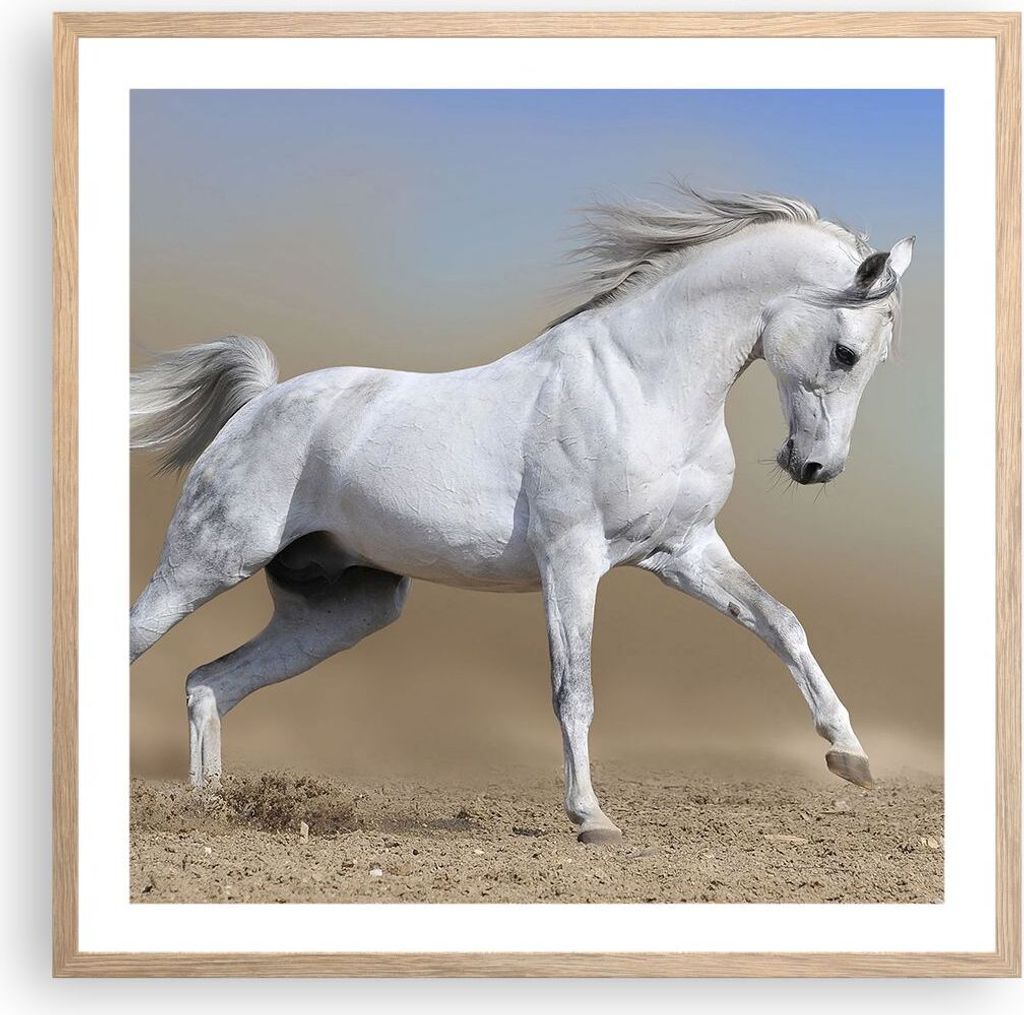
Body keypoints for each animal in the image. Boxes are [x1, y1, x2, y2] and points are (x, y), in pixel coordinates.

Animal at [130, 188, 914, 844]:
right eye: (846, 352)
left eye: (881, 358)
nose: (815, 467)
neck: (643, 385)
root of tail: (261, 401)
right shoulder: (571, 560)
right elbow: (575, 690)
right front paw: (591, 818)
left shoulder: (684, 552)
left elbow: (781, 623)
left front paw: (850, 755)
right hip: (207, 561)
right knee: (144, 644)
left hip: (344, 609)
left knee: (209, 683)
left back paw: (211, 810)